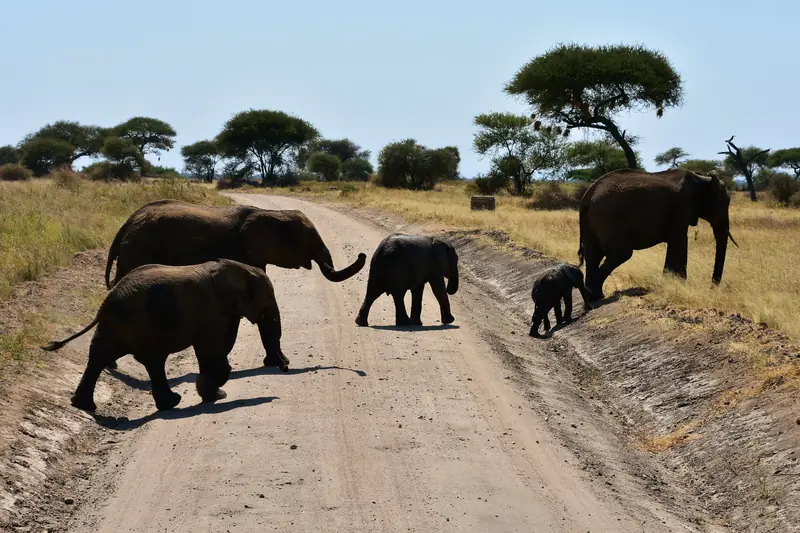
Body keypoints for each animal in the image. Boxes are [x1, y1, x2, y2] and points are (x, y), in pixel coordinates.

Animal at [40, 259, 286, 412]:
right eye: (268, 298)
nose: (284, 366)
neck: (236, 267)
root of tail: (106, 301)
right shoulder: (213, 311)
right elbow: (213, 349)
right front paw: (214, 393)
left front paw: (211, 393)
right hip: (135, 324)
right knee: (146, 360)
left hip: (119, 325)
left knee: (108, 357)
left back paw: (83, 405)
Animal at [103, 199, 367, 370]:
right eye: (309, 240)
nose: (363, 254)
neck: (270, 212)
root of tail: (125, 225)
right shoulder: (240, 252)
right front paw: (281, 364)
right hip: (137, 252)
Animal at [577, 168, 738, 302]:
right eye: (726, 202)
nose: (712, 288)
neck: (702, 178)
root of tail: (587, 196)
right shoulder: (682, 208)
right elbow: (679, 240)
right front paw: (677, 283)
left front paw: (671, 282)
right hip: (609, 217)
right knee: (621, 253)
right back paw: (595, 296)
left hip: (592, 222)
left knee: (593, 255)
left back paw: (593, 298)